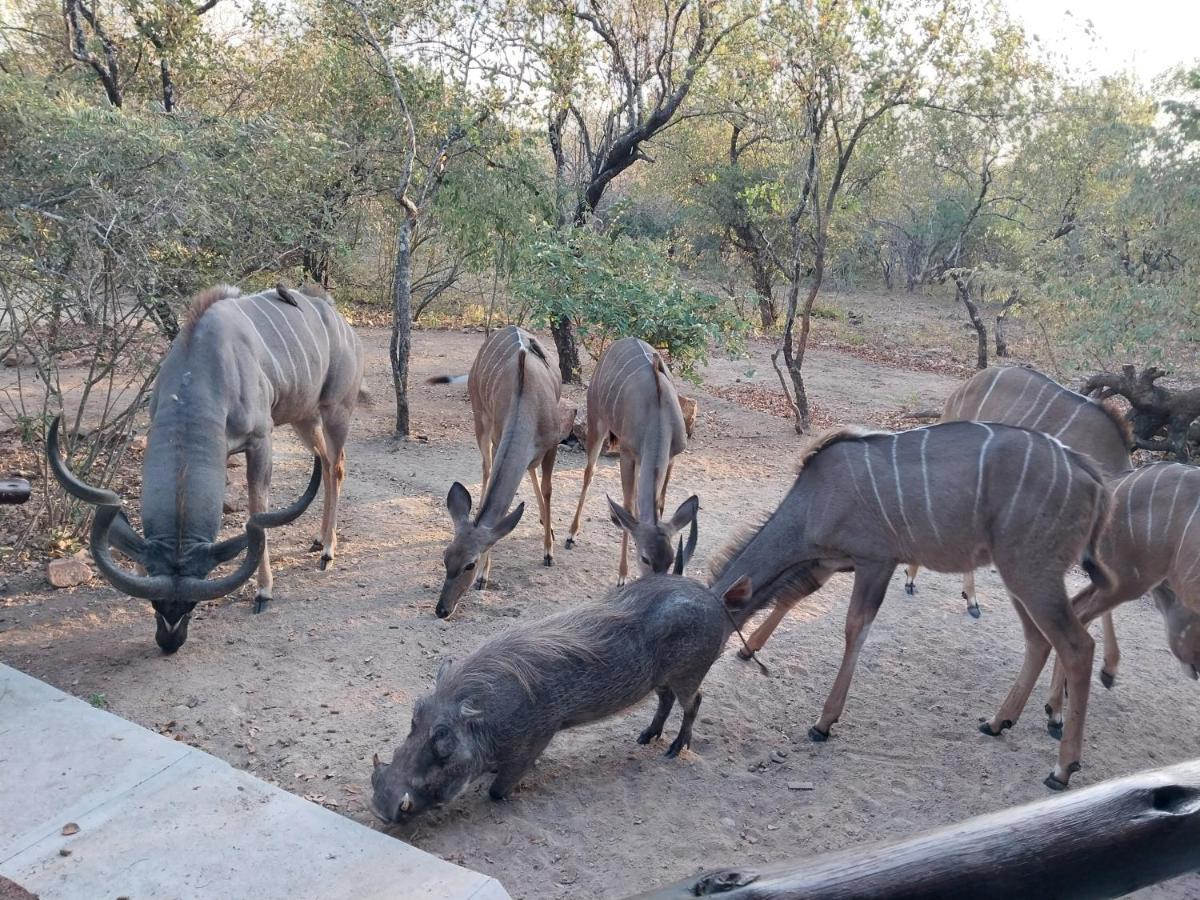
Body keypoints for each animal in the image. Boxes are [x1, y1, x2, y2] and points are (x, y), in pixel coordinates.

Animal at [48, 285, 364, 652]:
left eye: (191, 604)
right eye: (155, 604)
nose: (170, 641)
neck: (204, 367)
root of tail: (342, 323)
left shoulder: (261, 439)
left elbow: (258, 511)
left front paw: (263, 592)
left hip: (335, 411)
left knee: (337, 466)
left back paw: (328, 552)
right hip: (304, 417)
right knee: (325, 463)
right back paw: (319, 540)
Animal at [432, 328, 576, 624]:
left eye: (469, 564)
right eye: (445, 557)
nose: (442, 610)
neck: (528, 404)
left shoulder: (553, 445)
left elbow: (548, 489)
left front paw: (549, 552)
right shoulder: (499, 437)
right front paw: (485, 577)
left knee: (528, 472)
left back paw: (547, 526)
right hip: (480, 418)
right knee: (487, 471)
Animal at [566, 338, 700, 585]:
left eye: (670, 560)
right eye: (645, 558)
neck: (658, 416)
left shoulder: (672, 456)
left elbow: (658, 502)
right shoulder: (627, 453)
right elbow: (629, 506)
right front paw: (622, 575)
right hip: (597, 421)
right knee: (589, 472)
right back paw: (571, 535)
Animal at [710, 424, 1113, 787]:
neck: (813, 501)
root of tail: (1089, 475)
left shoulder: (875, 561)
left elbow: (855, 628)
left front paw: (823, 723)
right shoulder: (828, 563)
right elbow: (792, 596)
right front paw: (750, 651)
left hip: (1031, 572)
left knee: (1077, 645)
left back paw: (1062, 768)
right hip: (1019, 576)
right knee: (1039, 639)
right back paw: (998, 722)